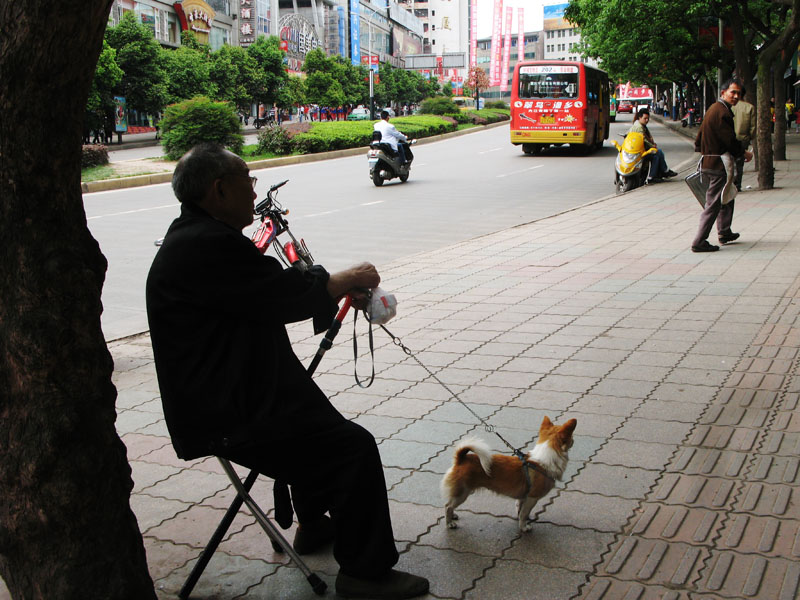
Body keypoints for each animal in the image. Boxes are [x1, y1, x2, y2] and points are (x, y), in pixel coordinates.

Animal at [440, 414, 580, 532]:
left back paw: (454, 515)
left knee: (450, 505)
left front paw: (521, 520)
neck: (543, 461)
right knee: (448, 506)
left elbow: (520, 510)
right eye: (571, 438)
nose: (574, 441)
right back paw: (449, 523)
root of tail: (461, 458)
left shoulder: (523, 497)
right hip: (463, 492)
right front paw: (524, 527)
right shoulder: (532, 498)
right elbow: (524, 513)